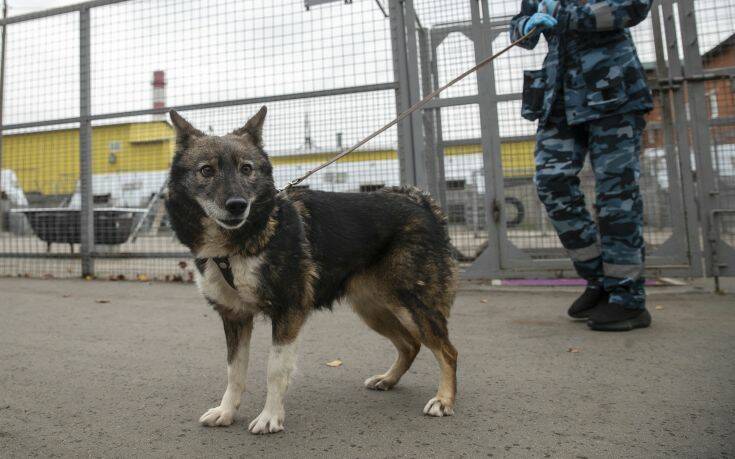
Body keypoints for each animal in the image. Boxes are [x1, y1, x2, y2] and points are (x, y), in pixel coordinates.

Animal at [165, 108, 460, 434]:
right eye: (206, 170)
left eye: (246, 169)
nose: (237, 205)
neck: (242, 241)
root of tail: (421, 203)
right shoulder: (235, 317)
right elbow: (234, 372)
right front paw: (227, 411)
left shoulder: (289, 313)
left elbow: (275, 370)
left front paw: (271, 417)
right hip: (373, 309)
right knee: (410, 345)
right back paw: (388, 379)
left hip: (413, 306)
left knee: (447, 351)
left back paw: (444, 400)